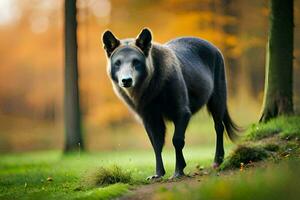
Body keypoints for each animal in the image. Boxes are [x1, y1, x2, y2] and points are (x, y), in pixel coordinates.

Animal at [101, 27, 239, 180]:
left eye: (136, 61)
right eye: (117, 63)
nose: (126, 80)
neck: (152, 90)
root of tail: (215, 48)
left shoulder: (182, 112)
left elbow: (177, 140)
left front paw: (178, 171)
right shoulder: (149, 117)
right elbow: (156, 144)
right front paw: (158, 174)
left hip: (217, 97)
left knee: (219, 127)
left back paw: (217, 160)